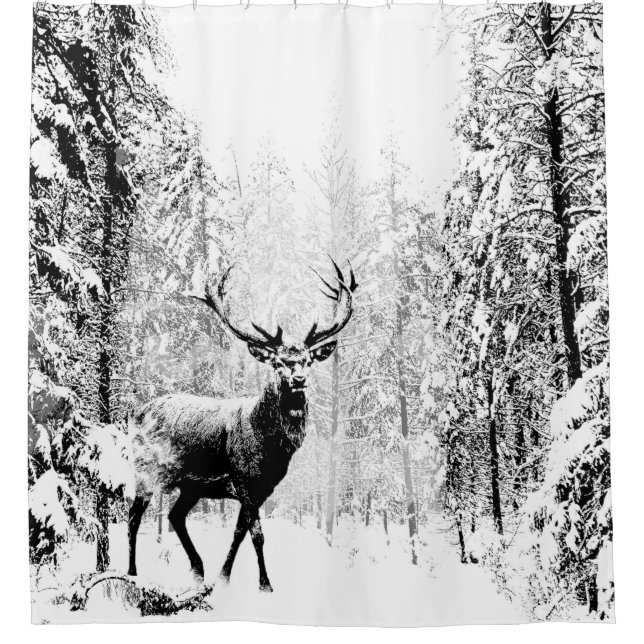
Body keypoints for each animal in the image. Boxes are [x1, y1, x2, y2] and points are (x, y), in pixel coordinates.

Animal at [127, 260, 357, 592]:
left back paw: (199, 569)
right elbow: (257, 534)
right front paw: (265, 584)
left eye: (308, 360)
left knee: (174, 515)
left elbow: (239, 532)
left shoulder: (261, 488)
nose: (299, 379)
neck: (270, 448)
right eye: (277, 362)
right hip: (145, 470)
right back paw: (131, 572)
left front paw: (223, 578)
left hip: (191, 486)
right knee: (133, 516)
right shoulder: (245, 480)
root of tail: (135, 413)